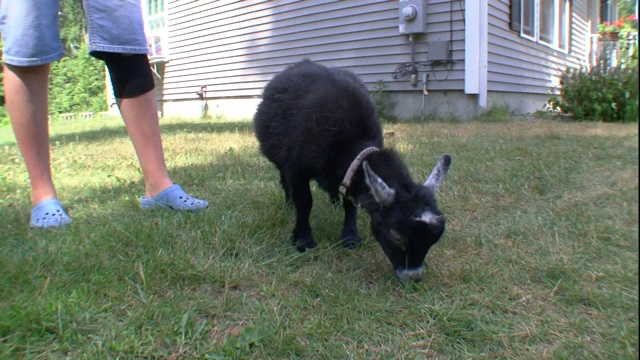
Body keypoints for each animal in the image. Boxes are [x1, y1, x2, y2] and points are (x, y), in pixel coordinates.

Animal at [252, 59, 452, 282]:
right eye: (396, 236)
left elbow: (350, 204)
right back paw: (289, 205)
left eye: (433, 240)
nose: (413, 277)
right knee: (285, 183)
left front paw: (350, 237)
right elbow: (304, 202)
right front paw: (303, 239)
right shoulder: (297, 169)